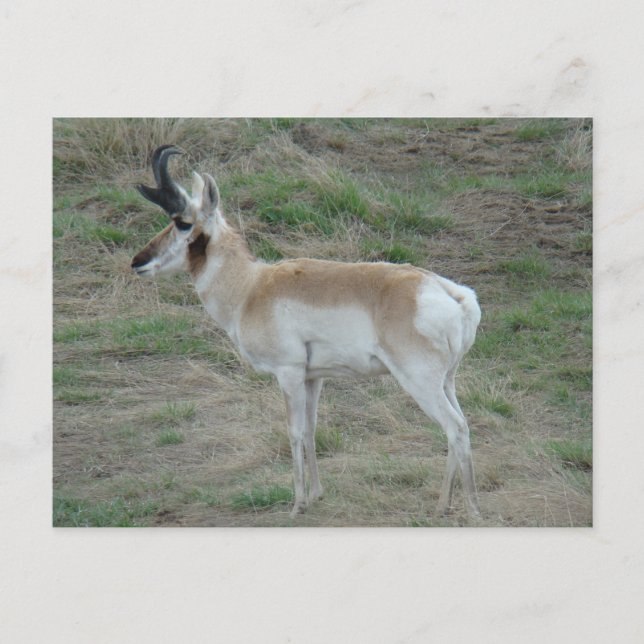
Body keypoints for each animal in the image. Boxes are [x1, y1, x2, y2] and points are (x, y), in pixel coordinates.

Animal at [131, 145, 482, 519]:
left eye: (182, 223)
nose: (138, 262)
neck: (251, 288)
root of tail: (446, 291)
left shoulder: (289, 373)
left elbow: (295, 432)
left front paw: (297, 503)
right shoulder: (314, 378)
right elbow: (313, 429)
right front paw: (316, 494)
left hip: (420, 381)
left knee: (455, 427)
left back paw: (472, 509)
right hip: (446, 381)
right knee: (459, 425)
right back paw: (443, 504)